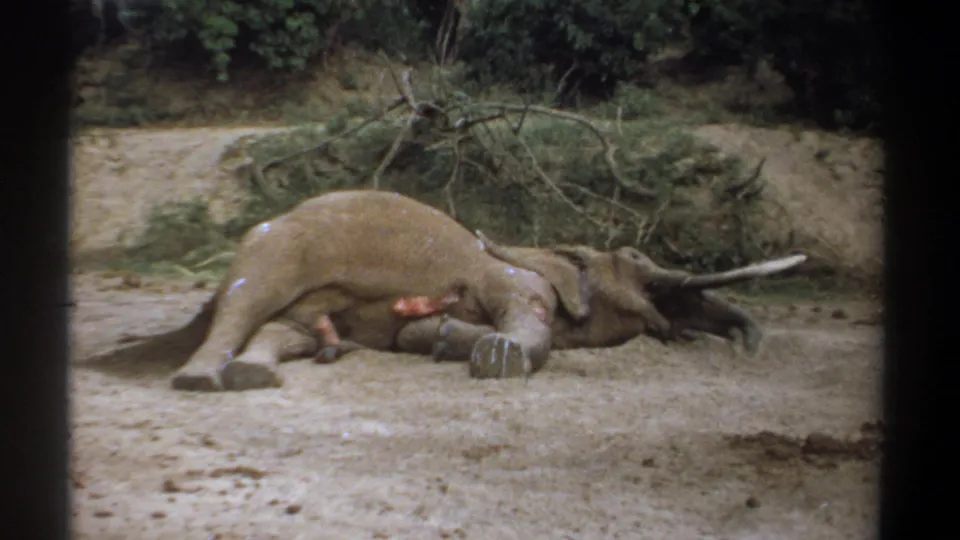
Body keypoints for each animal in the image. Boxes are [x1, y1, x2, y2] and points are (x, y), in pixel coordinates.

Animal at [169, 189, 807, 391]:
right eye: (635, 261)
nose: (747, 348)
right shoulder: (516, 277)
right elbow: (525, 317)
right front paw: (497, 356)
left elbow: (415, 334)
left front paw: (441, 337)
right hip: (277, 248)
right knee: (245, 303)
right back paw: (199, 379)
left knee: (287, 329)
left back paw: (258, 373)